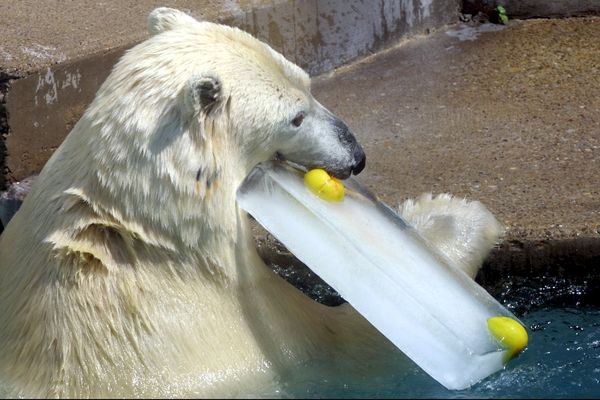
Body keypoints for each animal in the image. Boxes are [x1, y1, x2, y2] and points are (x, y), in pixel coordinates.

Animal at [0, 7, 504, 398]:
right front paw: (451, 216)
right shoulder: (258, 337)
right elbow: (361, 340)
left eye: (308, 81)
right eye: (295, 117)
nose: (357, 155)